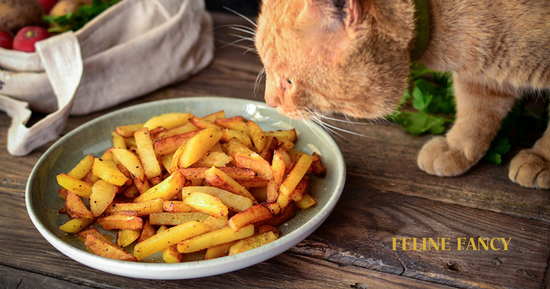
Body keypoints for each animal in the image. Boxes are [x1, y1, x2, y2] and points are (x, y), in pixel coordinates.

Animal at [256, 0, 550, 188]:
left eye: (289, 81)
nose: (268, 102)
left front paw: (542, 159)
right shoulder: (482, 78)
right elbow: (475, 115)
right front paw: (456, 148)